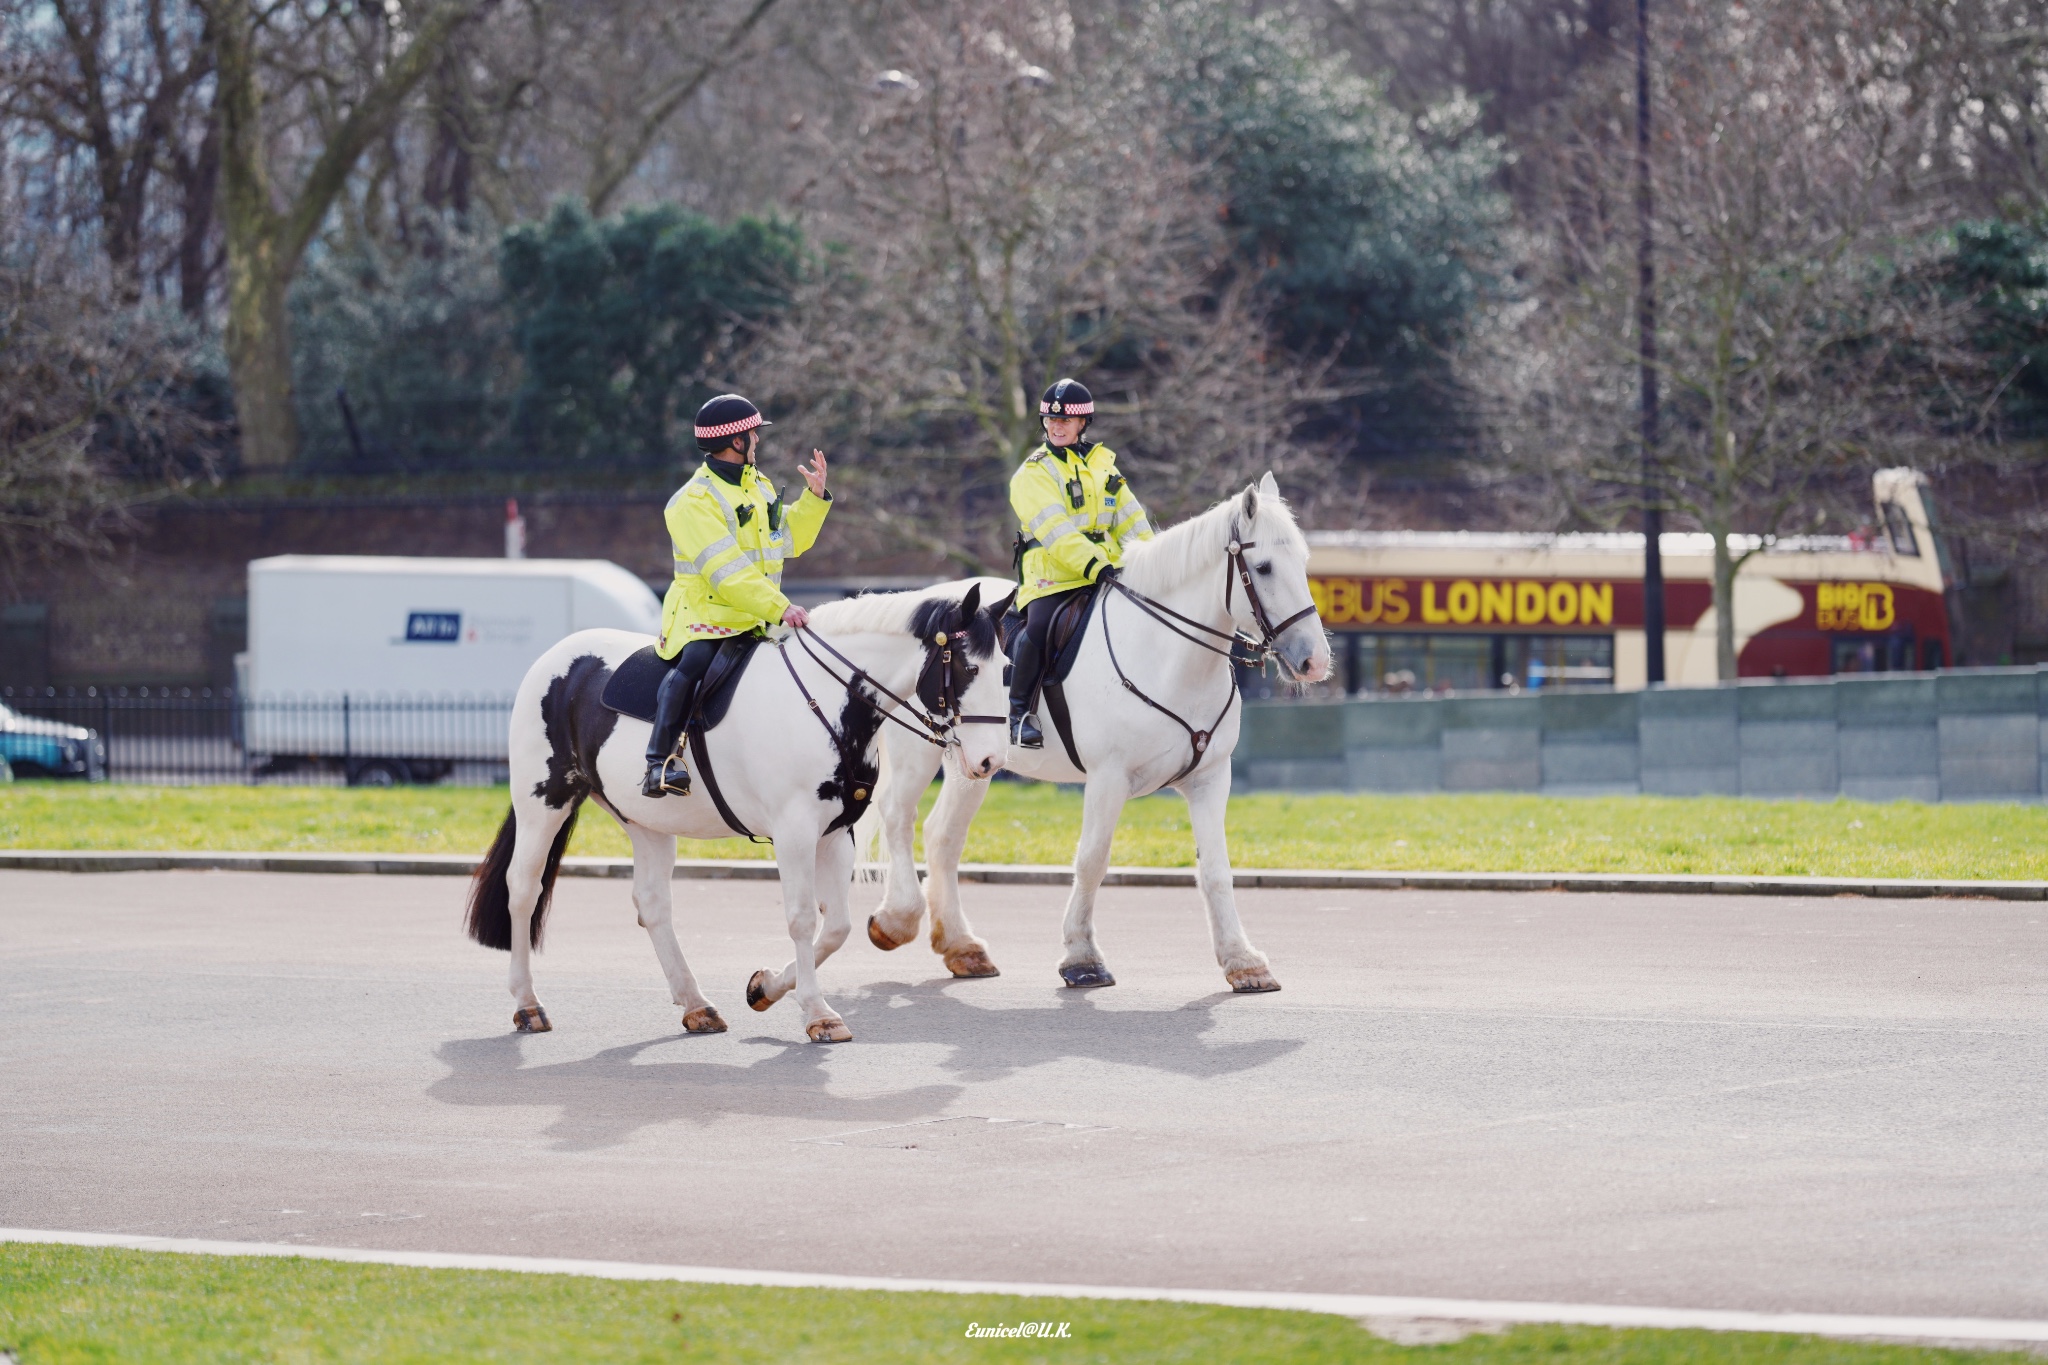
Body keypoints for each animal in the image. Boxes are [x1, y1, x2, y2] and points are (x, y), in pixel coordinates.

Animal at [462, 581, 1007, 1039]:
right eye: (968, 668)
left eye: (1005, 670)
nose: (990, 761)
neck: (825, 700)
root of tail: (559, 659)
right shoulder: (793, 832)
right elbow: (802, 920)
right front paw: (817, 1013)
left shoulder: (835, 835)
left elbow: (836, 927)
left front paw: (766, 987)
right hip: (543, 800)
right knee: (523, 890)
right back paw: (527, 1003)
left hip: (644, 821)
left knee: (652, 904)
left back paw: (695, 1003)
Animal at [860, 474, 1327, 998]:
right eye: (1263, 567)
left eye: (1304, 561)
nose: (1314, 660)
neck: (1166, 653)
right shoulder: (1108, 779)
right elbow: (1092, 861)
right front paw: (1082, 957)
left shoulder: (1210, 779)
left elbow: (1215, 870)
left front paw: (1242, 960)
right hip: (917, 754)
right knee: (898, 818)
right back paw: (897, 919)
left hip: (972, 763)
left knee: (943, 836)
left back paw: (962, 946)